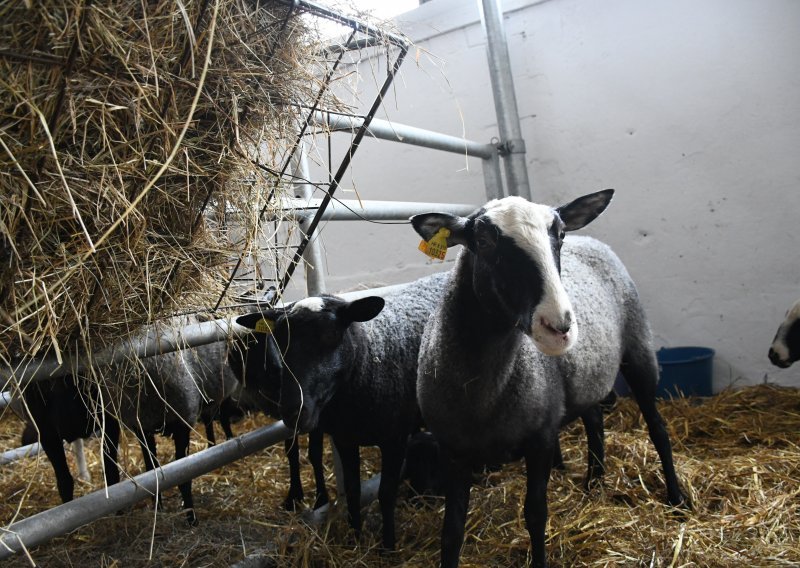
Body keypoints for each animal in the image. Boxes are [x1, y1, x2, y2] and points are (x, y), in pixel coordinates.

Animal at [234, 270, 454, 552]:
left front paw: (387, 547)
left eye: (331, 336)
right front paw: (355, 539)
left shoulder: (395, 439)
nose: (294, 410)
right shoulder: (345, 439)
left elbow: (386, 494)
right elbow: (352, 490)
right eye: (280, 341)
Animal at [412, 192, 688, 568]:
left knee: (657, 428)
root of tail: (592, 240)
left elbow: (535, 515)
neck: (482, 394)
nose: (560, 326)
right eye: (483, 241)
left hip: (639, 349)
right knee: (594, 419)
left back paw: (676, 499)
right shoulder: (452, 451)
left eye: (560, 234)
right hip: (585, 376)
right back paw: (593, 481)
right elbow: (451, 532)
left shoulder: (540, 438)